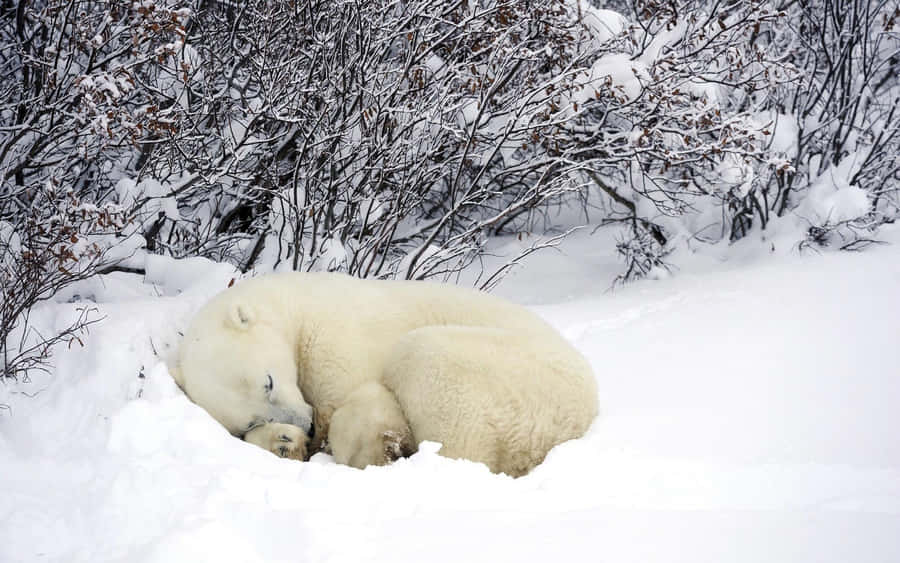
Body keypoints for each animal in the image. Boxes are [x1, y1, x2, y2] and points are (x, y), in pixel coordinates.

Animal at [172, 272, 597, 477]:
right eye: (251, 419)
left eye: (269, 381)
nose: (306, 425)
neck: (295, 305)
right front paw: (284, 442)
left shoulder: (334, 337)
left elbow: (355, 400)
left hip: (514, 376)